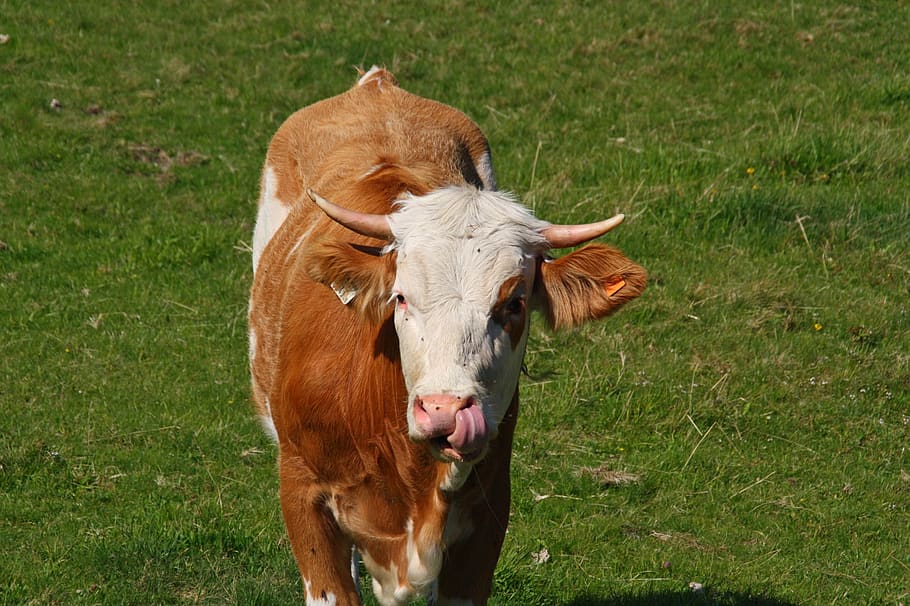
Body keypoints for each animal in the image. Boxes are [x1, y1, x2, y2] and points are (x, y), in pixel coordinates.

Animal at [247, 66, 646, 605]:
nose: (444, 410)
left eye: (514, 303)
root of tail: (376, 84)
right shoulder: (302, 493)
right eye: (400, 298)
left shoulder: (488, 514)